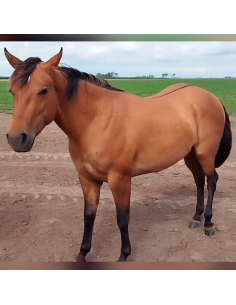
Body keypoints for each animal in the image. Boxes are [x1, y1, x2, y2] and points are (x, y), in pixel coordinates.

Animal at [4, 47, 232, 262]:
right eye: (12, 91)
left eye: (44, 90)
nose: (17, 139)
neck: (97, 120)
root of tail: (212, 97)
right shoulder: (87, 178)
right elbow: (89, 215)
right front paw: (82, 253)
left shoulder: (119, 179)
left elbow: (122, 218)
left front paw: (124, 255)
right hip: (190, 155)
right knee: (199, 180)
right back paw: (196, 218)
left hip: (205, 154)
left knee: (211, 180)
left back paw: (208, 223)